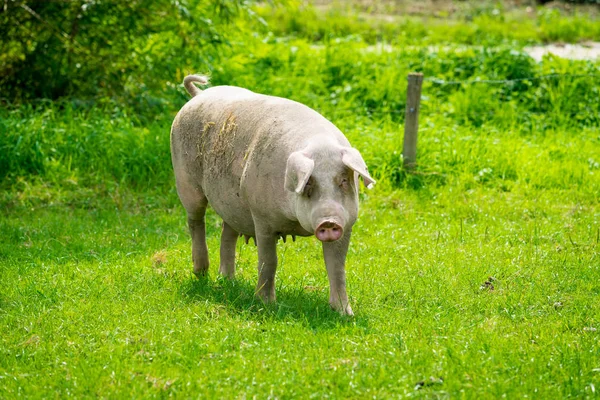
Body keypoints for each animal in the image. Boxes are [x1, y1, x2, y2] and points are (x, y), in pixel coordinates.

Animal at [170, 73, 376, 314]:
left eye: (343, 180)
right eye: (308, 184)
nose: (329, 221)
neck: (294, 222)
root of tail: (198, 95)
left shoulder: (347, 224)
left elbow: (337, 267)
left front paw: (345, 314)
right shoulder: (262, 218)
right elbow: (269, 261)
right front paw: (266, 305)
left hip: (231, 203)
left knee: (227, 232)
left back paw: (228, 280)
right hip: (185, 180)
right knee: (196, 222)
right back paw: (201, 273)